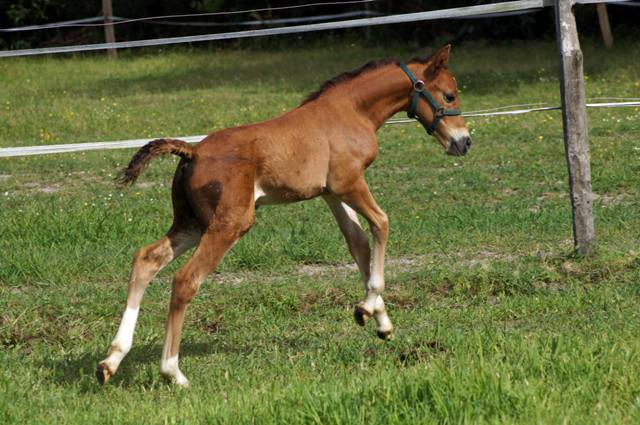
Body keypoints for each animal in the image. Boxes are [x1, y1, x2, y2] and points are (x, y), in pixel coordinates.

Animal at [97, 44, 472, 386]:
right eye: (449, 94)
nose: (464, 142)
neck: (351, 111)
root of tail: (192, 151)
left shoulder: (331, 193)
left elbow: (358, 243)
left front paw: (379, 321)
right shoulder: (350, 182)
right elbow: (381, 223)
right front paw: (367, 308)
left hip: (191, 224)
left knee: (147, 259)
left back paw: (111, 361)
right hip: (230, 223)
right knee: (185, 280)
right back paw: (173, 372)